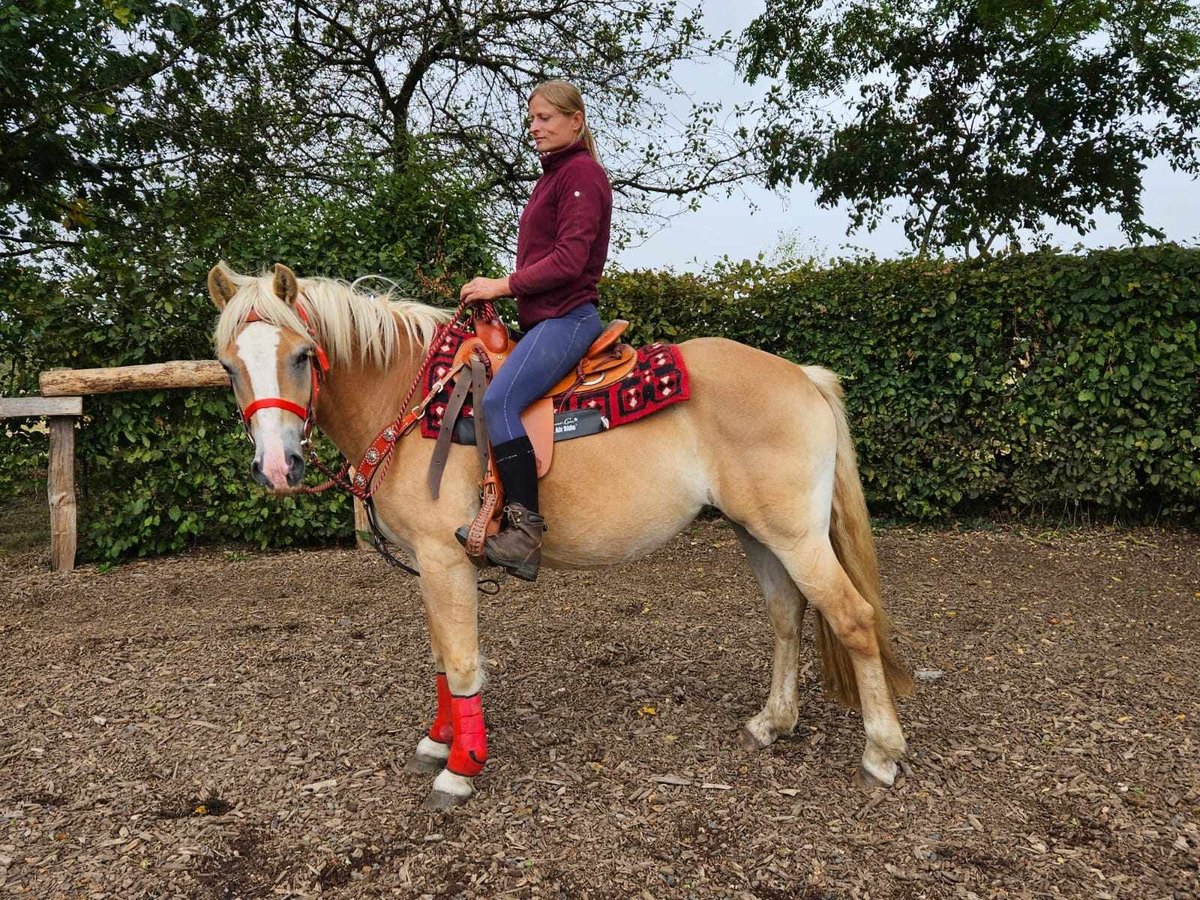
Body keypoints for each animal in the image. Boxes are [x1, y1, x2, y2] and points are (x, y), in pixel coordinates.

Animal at [211, 260, 912, 811]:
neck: (415, 400)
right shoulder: (430, 567)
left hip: (795, 535)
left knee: (851, 618)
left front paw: (460, 770)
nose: (278, 468)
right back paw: (772, 722)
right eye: (228, 367)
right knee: (788, 614)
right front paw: (438, 742)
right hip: (757, 531)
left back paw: (881, 753)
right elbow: (439, 656)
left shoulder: (445, 561)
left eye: (302, 356)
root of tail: (802, 376)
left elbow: (461, 663)